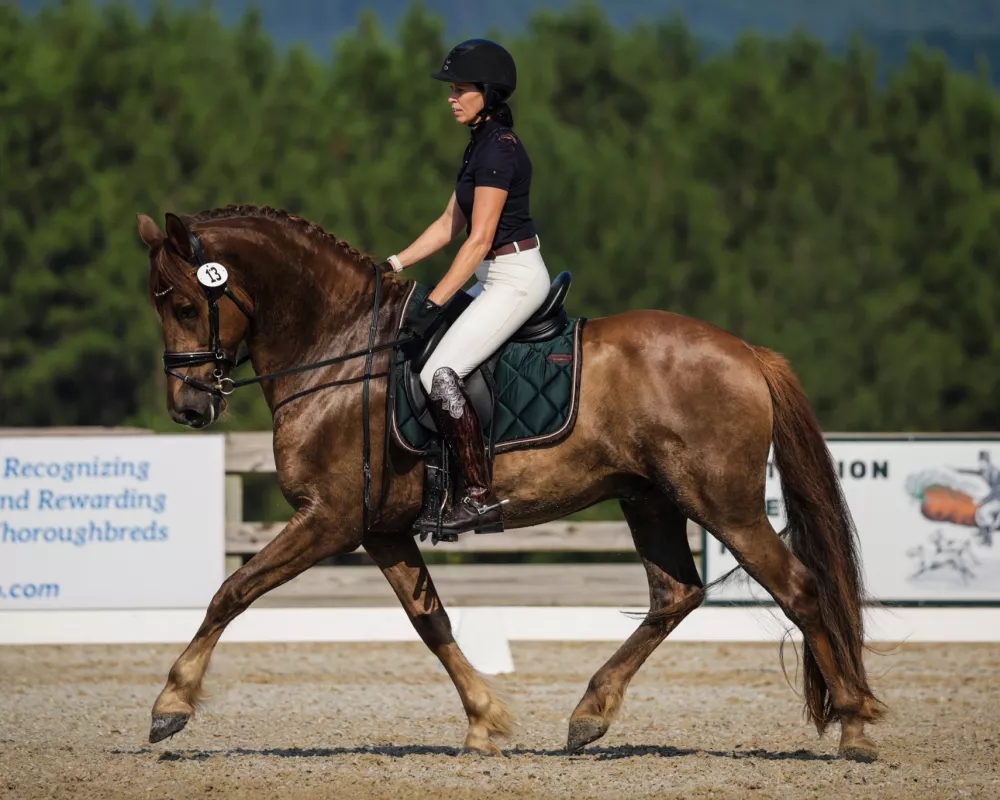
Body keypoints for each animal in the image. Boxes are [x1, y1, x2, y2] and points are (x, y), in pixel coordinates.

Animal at [137, 202, 888, 764]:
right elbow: (430, 620)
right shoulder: (380, 529)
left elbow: (233, 590)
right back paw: (590, 715)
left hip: (725, 506)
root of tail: (746, 352)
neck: (340, 352)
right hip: (649, 499)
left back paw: (854, 724)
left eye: (184, 305)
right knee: (676, 594)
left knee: (798, 590)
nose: (189, 409)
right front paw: (485, 720)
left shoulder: (330, 518)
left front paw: (170, 705)